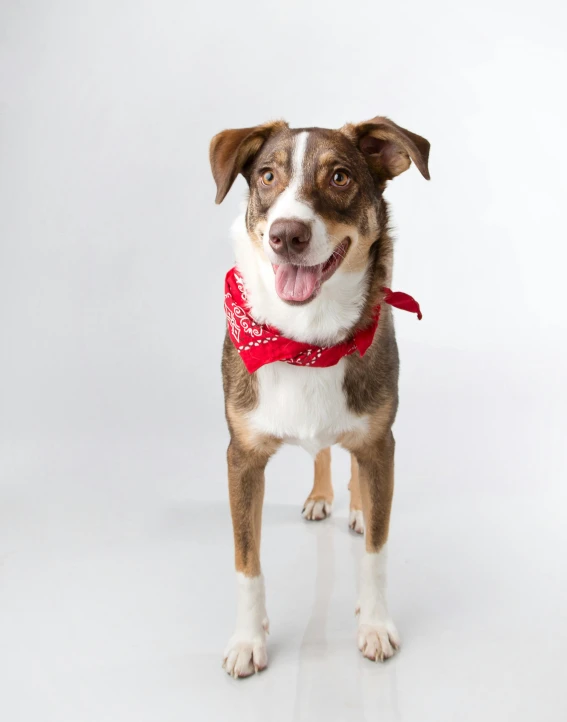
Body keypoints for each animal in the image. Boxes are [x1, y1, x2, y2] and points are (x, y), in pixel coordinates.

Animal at [209, 116, 430, 676]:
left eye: (339, 177)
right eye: (267, 176)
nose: (288, 234)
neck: (308, 341)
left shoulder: (380, 443)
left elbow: (377, 550)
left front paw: (374, 626)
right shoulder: (241, 456)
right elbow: (246, 560)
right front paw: (248, 640)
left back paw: (354, 506)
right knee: (323, 452)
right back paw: (320, 497)